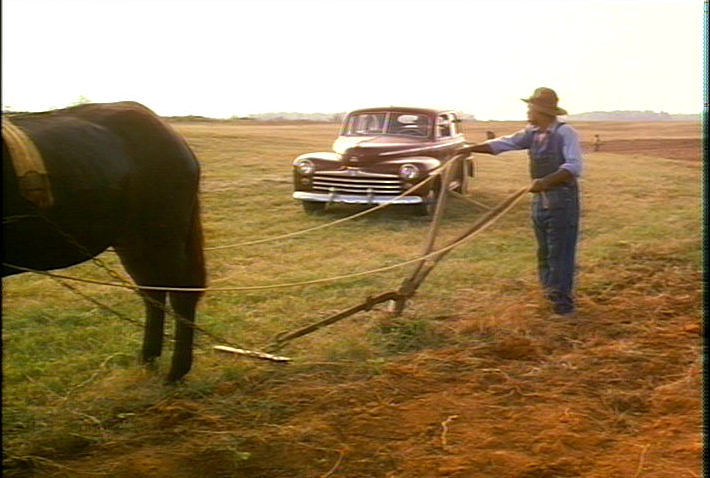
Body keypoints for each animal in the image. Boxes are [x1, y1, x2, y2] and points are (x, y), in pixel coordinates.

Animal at [2, 102, 207, 382]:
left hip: (163, 234)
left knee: (180, 291)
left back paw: (176, 370)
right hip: (133, 241)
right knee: (152, 289)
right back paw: (149, 358)